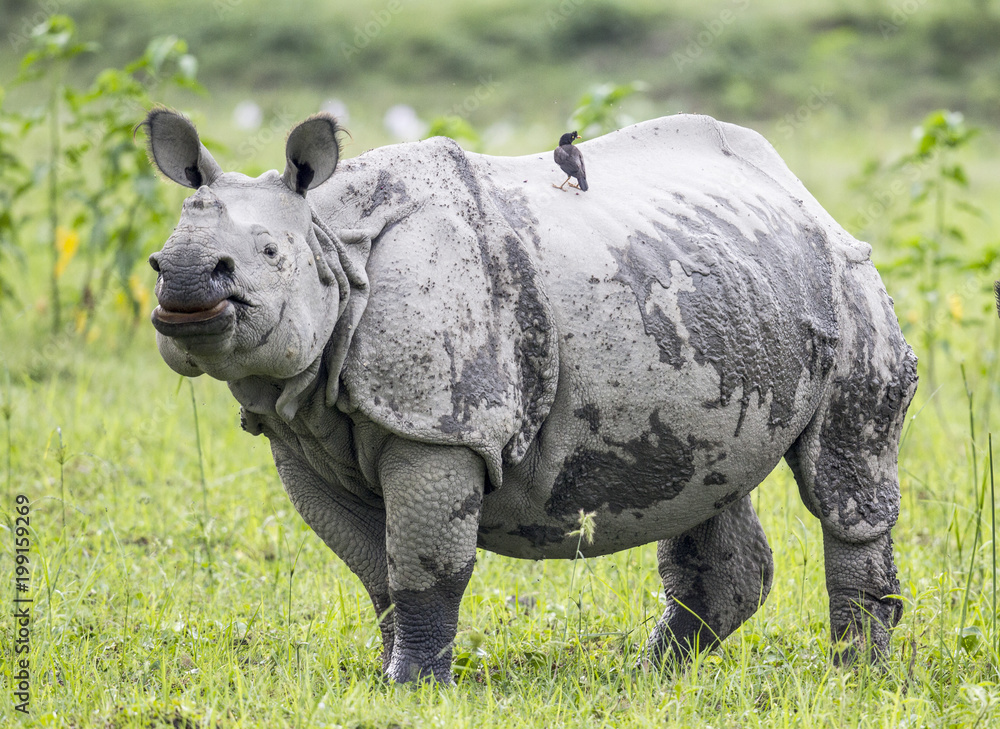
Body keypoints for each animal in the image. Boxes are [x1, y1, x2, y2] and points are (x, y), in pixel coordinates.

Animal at [143, 107, 917, 684]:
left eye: (271, 255)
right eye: (157, 259)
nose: (183, 279)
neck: (333, 242)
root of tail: (800, 191)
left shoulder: (441, 427)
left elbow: (425, 567)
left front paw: (414, 686)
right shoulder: (299, 436)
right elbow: (377, 572)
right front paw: (390, 673)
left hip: (850, 281)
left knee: (843, 483)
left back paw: (854, 678)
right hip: (726, 289)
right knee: (708, 477)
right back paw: (652, 676)